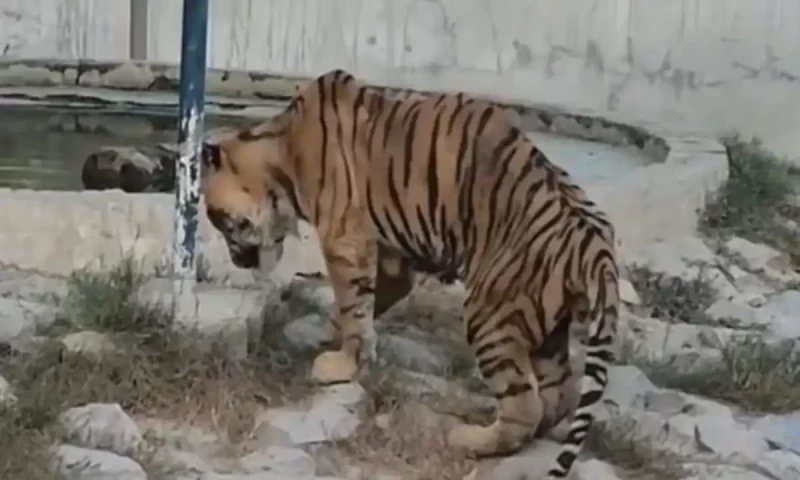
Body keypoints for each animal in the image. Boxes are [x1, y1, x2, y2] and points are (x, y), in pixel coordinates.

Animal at [200, 69, 619, 479]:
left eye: (220, 222)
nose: (238, 262)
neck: (281, 154)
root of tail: (594, 246)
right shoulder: (391, 258)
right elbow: (363, 306)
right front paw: (334, 338)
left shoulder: (344, 241)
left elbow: (353, 305)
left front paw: (340, 365)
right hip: (546, 330)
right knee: (557, 397)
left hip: (491, 316)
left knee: (525, 406)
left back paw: (470, 439)